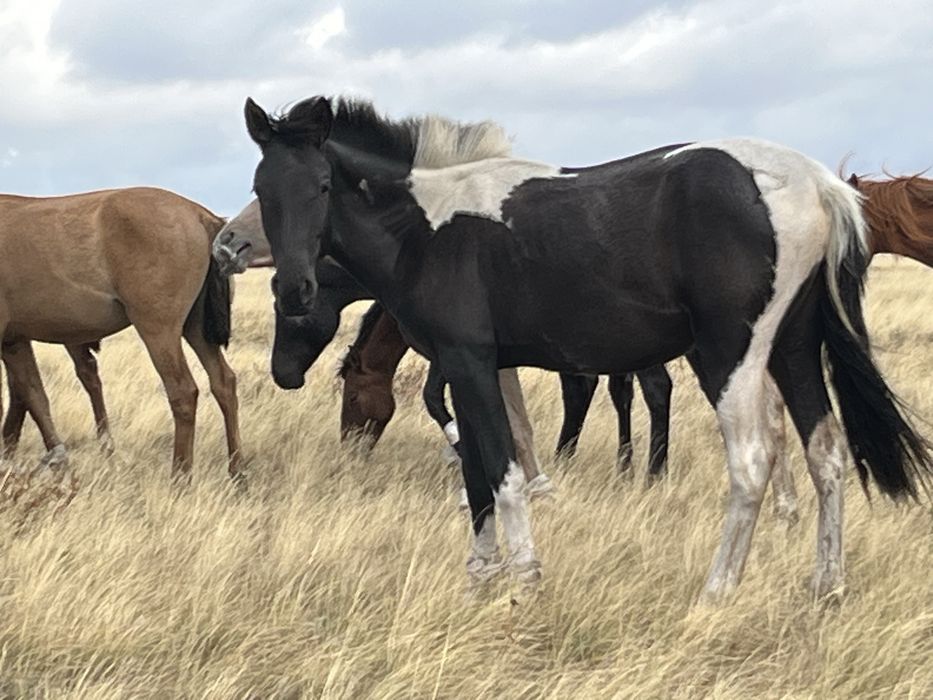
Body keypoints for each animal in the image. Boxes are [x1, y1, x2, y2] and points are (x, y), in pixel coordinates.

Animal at [0, 187, 241, 479]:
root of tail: (200, 215)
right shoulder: (14, 341)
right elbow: (31, 393)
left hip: (158, 330)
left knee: (183, 392)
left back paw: (180, 476)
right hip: (196, 331)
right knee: (224, 384)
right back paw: (238, 471)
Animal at [243, 95, 931, 602]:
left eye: (323, 185)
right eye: (262, 187)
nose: (294, 288)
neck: (427, 227)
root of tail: (815, 184)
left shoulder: (468, 364)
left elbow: (502, 470)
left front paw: (522, 579)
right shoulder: (470, 371)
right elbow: (475, 472)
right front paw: (479, 578)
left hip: (730, 357)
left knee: (754, 459)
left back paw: (717, 591)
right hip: (792, 351)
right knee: (826, 453)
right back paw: (826, 586)